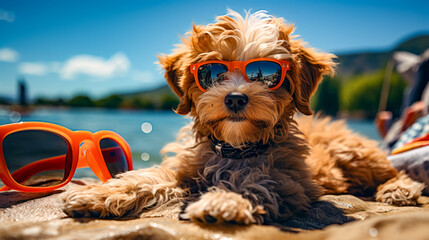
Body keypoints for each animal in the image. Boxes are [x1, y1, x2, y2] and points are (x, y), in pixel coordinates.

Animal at [58, 9, 422, 227]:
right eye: (211, 72)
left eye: (267, 74)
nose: (235, 97)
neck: (236, 146)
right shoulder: (184, 170)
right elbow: (148, 176)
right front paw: (100, 194)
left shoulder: (293, 180)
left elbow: (259, 181)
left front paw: (226, 199)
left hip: (355, 153)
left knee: (393, 170)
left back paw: (397, 189)